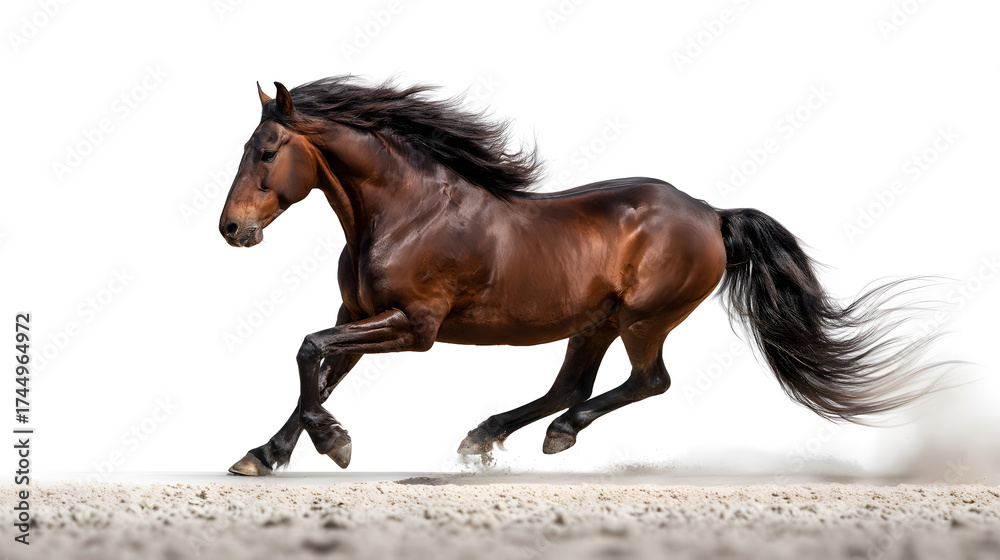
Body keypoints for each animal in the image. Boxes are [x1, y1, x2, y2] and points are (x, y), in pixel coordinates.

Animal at [220, 77, 946, 476]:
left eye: (267, 151)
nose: (230, 230)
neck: (407, 214)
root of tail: (711, 214)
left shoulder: (414, 327)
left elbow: (308, 352)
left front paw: (333, 443)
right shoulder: (359, 316)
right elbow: (316, 374)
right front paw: (266, 455)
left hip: (642, 318)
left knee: (645, 382)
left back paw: (553, 435)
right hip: (595, 321)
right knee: (571, 384)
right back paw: (487, 437)